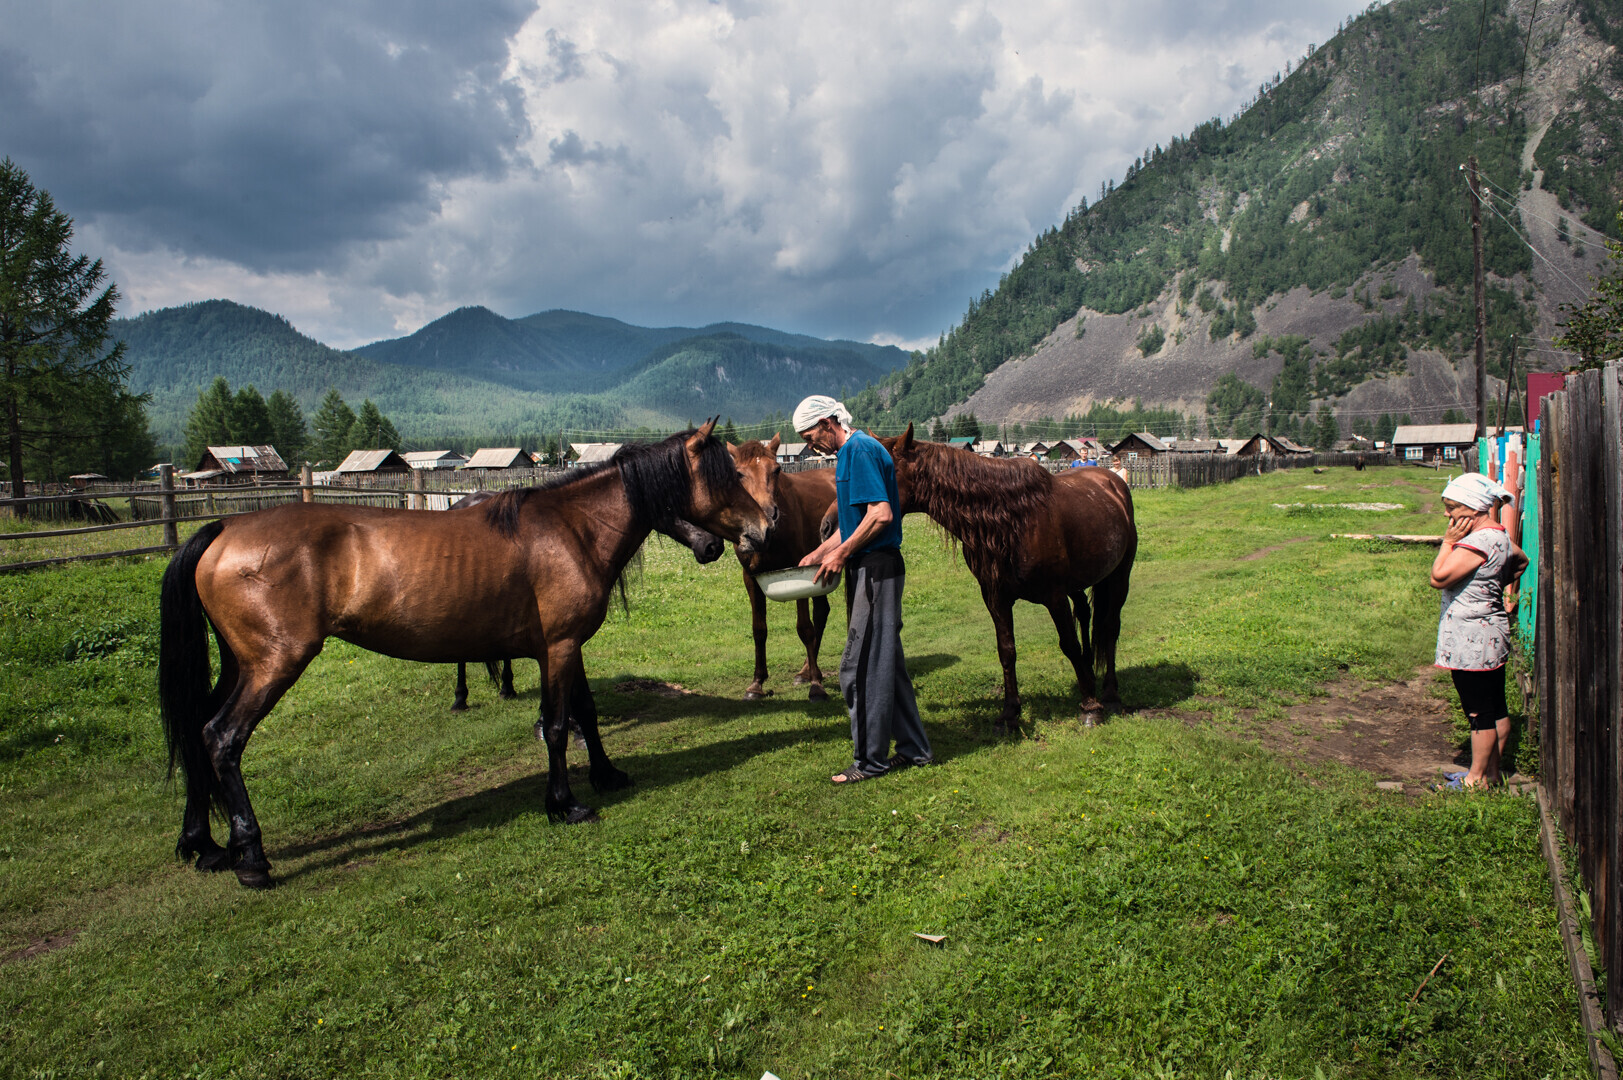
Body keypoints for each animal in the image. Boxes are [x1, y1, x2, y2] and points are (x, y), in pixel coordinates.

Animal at [159, 422, 772, 883]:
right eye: (727, 477)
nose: (759, 532)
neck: (570, 528)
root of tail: (223, 530)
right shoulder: (559, 647)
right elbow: (556, 726)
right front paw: (564, 803)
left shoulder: (565, 647)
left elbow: (586, 713)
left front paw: (606, 774)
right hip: (273, 665)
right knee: (222, 737)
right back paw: (252, 857)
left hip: (241, 665)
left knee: (195, 730)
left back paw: (204, 844)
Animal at [733, 435, 837, 698]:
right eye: (739, 474)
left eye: (777, 469)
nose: (768, 515)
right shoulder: (751, 577)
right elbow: (759, 629)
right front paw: (757, 683)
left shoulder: (798, 571)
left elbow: (805, 628)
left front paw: (816, 687)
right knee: (822, 611)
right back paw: (806, 671)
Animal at [882, 425, 1136, 727]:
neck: (1010, 521)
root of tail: (1112, 482)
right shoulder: (996, 598)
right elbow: (1007, 650)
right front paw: (1010, 712)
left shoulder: (1054, 596)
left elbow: (1069, 644)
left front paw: (1090, 707)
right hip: (1079, 581)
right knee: (1085, 613)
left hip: (1119, 576)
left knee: (1110, 627)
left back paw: (1109, 693)